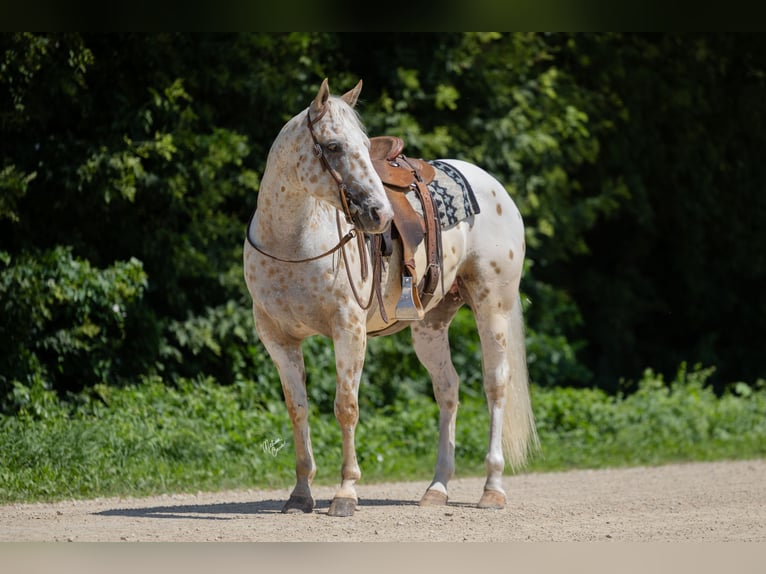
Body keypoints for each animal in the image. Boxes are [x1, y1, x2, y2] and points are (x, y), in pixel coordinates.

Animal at [243, 78, 538, 517]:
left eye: (366, 146)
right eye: (333, 146)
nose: (380, 214)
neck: (292, 245)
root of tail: (495, 187)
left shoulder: (348, 331)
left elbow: (346, 406)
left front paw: (346, 493)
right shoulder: (278, 338)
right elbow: (298, 409)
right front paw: (300, 494)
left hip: (493, 309)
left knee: (495, 385)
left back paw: (492, 488)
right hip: (430, 325)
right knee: (447, 390)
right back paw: (436, 488)